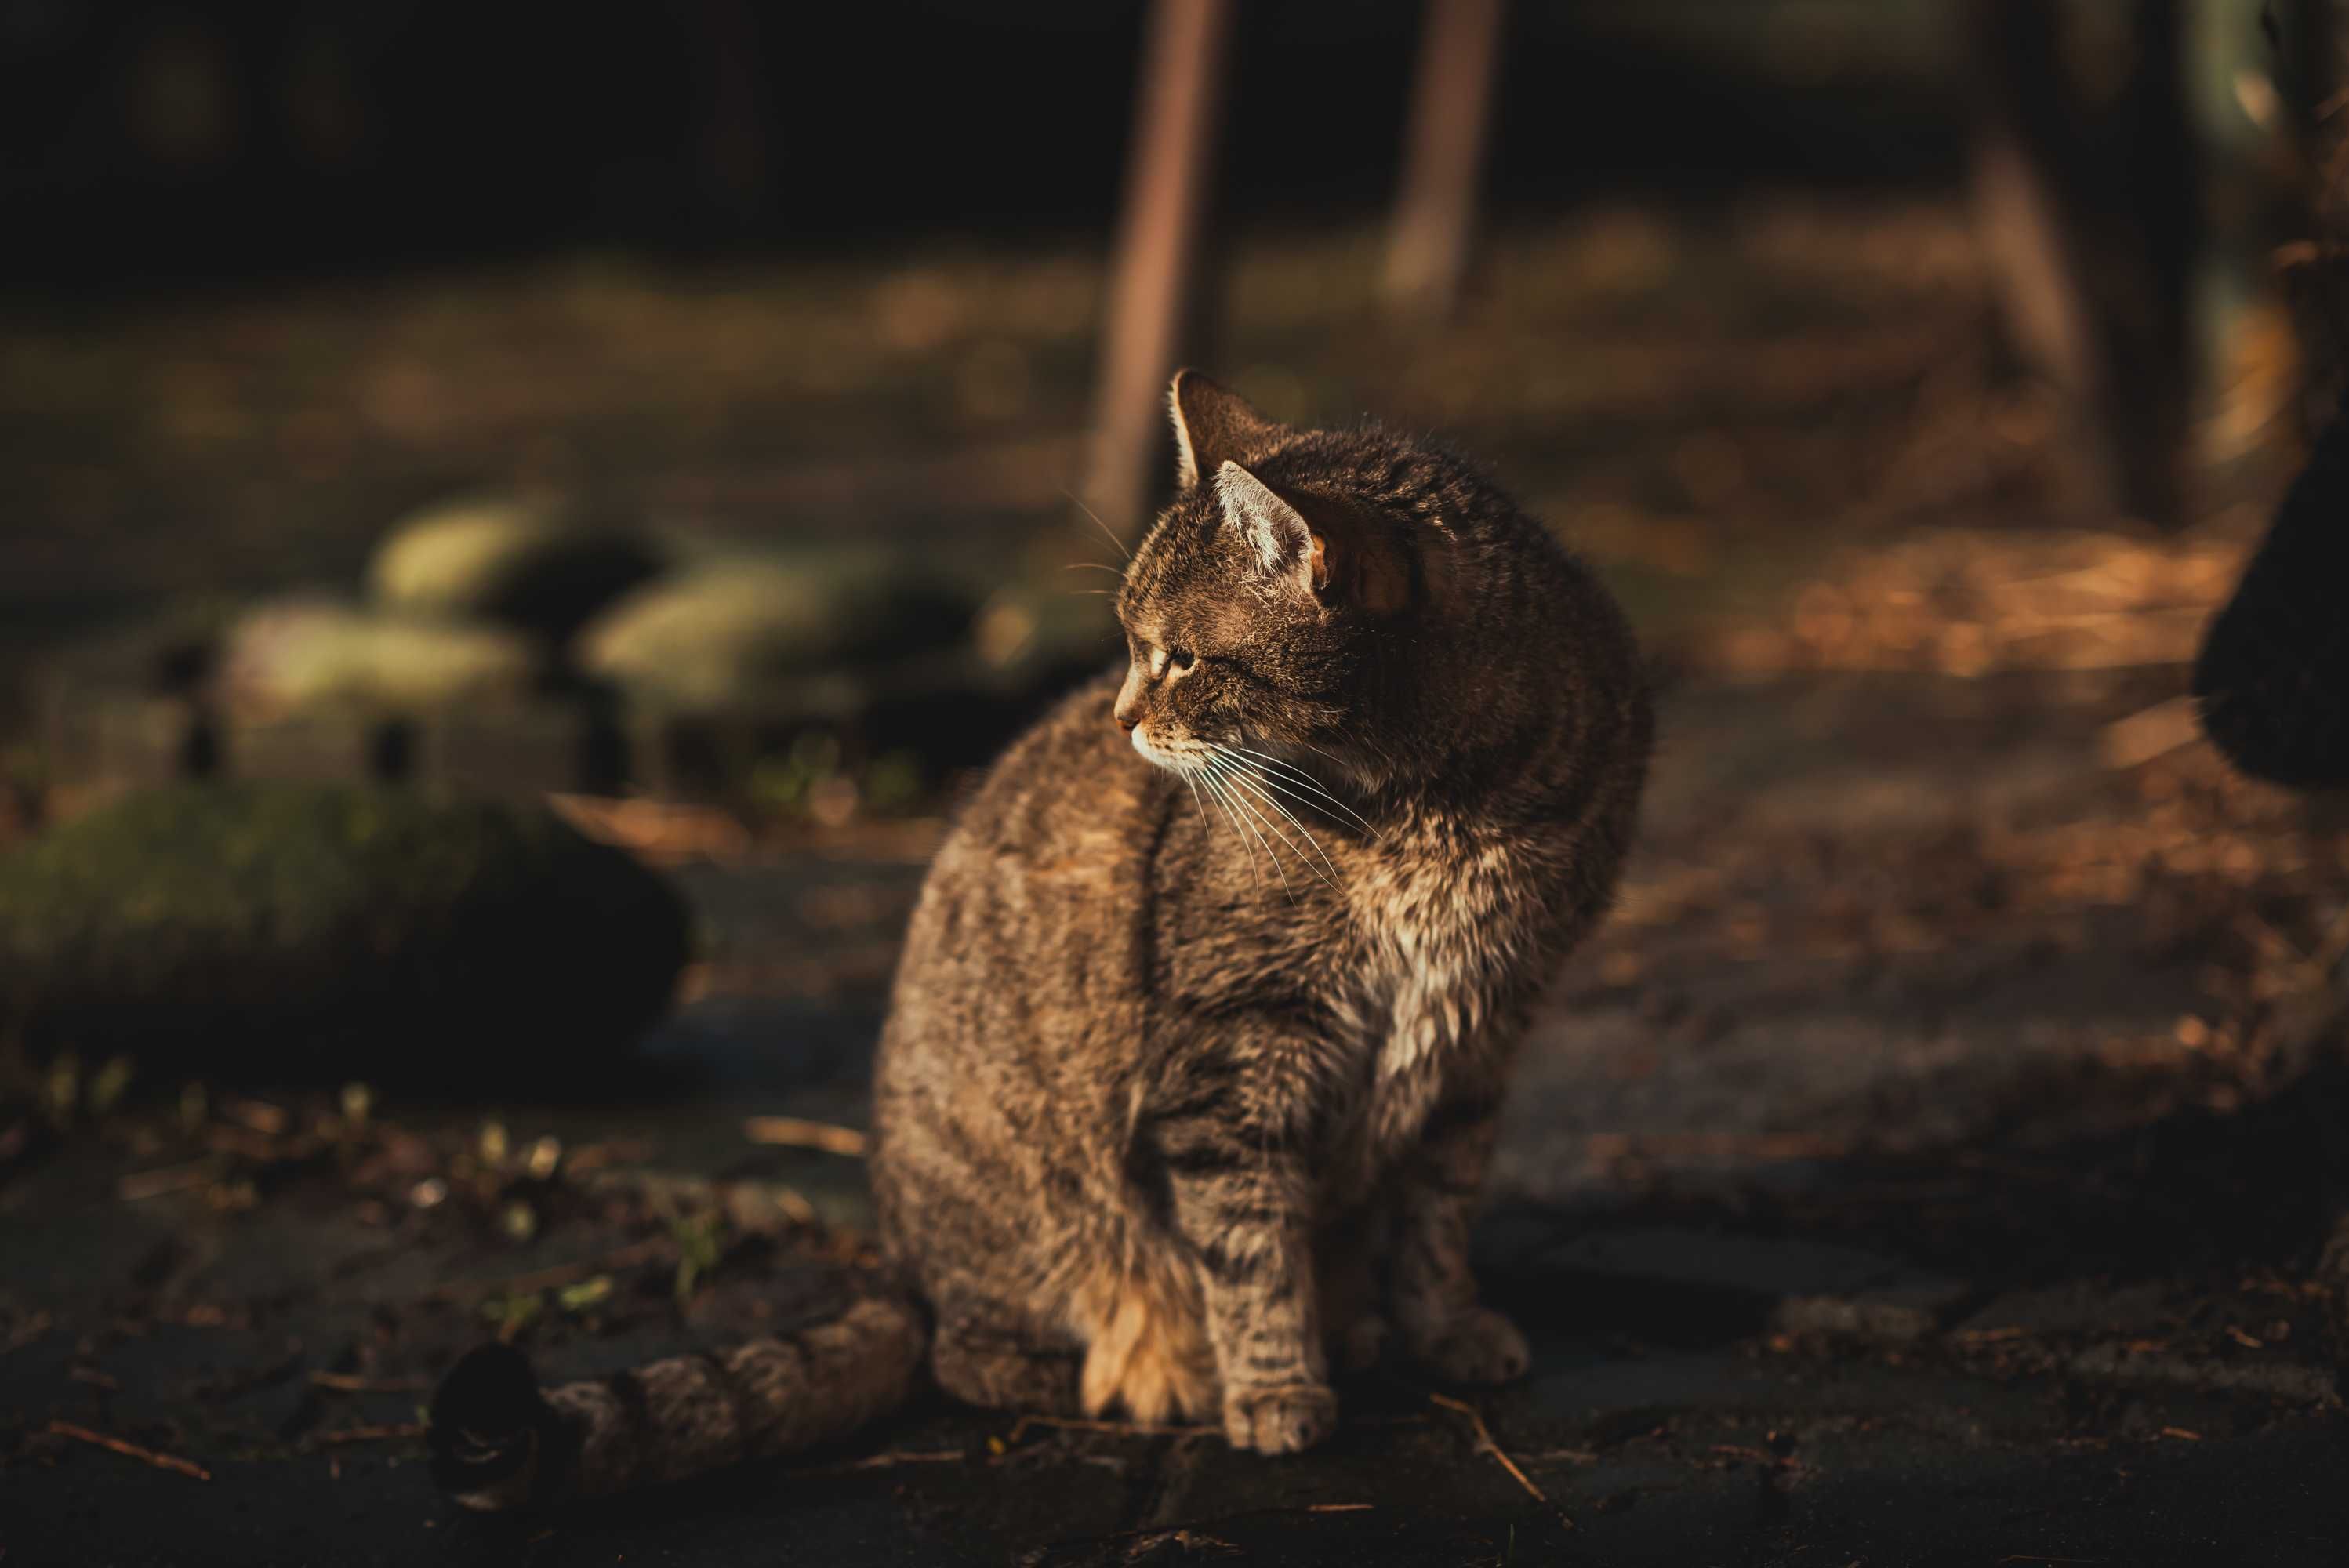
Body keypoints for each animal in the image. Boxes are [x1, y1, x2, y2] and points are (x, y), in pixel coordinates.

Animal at [437, 371, 1654, 1502]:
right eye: (1128, 645)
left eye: (1181, 659)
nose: (1119, 717)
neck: (1438, 808)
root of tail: (901, 1267)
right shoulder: (1233, 1055)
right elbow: (1248, 1242)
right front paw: (1272, 1386)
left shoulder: (1482, 1035)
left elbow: (1438, 1216)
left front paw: (1444, 1329)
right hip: (1034, 1208)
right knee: (969, 1353)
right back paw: (1163, 1374)